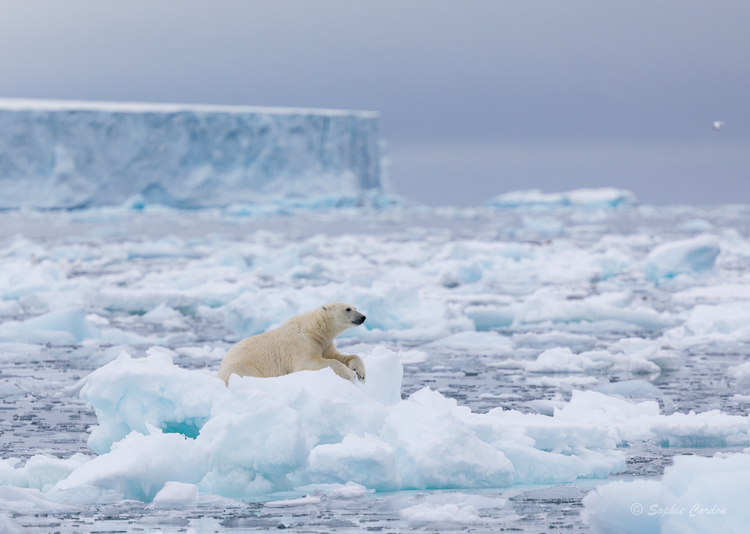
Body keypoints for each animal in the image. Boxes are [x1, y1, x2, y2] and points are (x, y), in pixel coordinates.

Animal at [217, 304, 368, 388]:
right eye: (348, 309)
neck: (312, 329)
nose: (363, 317)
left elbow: (340, 356)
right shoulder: (300, 344)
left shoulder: (325, 344)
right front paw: (350, 374)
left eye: (355, 307)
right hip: (241, 368)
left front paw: (360, 373)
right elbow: (309, 363)